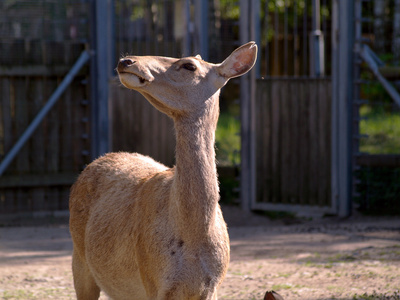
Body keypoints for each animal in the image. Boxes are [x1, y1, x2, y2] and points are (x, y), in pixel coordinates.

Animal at [68, 41, 258, 298]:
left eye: (189, 65)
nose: (126, 60)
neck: (194, 238)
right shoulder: (152, 279)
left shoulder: (213, 286)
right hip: (79, 260)